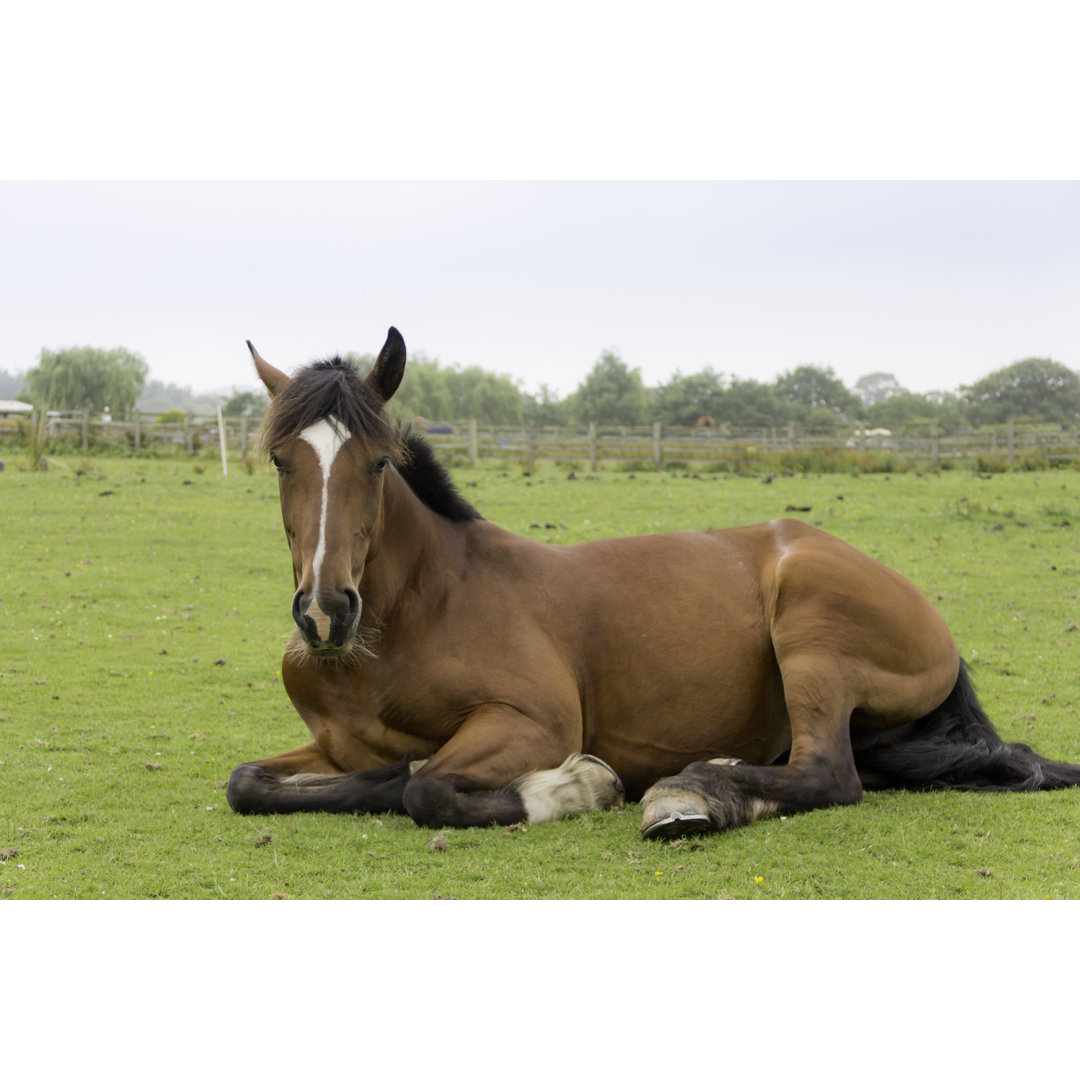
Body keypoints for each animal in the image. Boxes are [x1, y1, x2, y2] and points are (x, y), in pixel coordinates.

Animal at [225, 324, 1080, 838]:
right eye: (281, 459)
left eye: (376, 462)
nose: (325, 614)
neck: (411, 619)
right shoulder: (331, 747)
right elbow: (251, 782)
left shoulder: (535, 722)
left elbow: (424, 789)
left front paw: (573, 788)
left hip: (812, 635)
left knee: (830, 775)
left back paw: (690, 792)